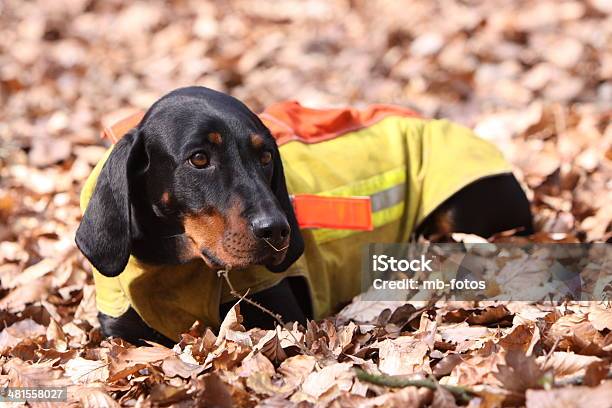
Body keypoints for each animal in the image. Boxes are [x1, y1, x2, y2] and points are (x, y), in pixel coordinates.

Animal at [74, 85, 528, 344]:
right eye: (199, 159)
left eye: (265, 157)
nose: (277, 231)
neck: (174, 271)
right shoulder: (121, 334)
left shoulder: (277, 314)